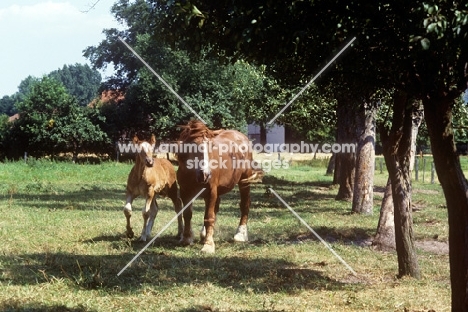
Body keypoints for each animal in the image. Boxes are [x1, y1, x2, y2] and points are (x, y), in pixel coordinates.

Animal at [176, 119, 260, 254]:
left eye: (211, 147)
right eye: (193, 146)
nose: (205, 174)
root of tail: (241, 136)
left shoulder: (211, 191)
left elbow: (209, 218)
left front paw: (208, 245)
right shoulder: (185, 192)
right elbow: (187, 214)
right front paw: (186, 238)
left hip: (244, 181)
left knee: (245, 204)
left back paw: (240, 234)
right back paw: (204, 234)